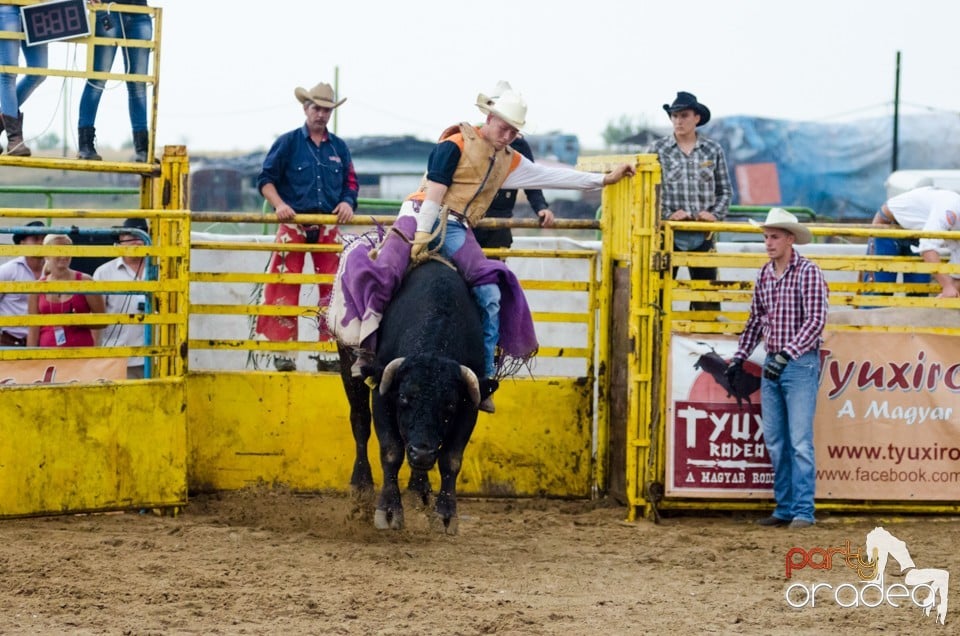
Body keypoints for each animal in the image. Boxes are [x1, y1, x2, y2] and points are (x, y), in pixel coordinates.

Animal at [334, 260, 496, 536]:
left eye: (449, 404)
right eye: (403, 398)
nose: (422, 453)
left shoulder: (469, 407)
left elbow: (451, 459)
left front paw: (446, 515)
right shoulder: (382, 395)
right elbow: (391, 451)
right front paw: (389, 511)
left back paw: (419, 491)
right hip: (348, 363)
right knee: (360, 422)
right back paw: (361, 488)